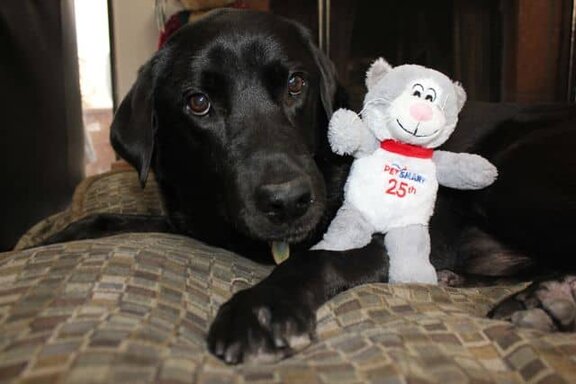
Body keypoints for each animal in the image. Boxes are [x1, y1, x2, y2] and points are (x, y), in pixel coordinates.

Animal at [46, 9, 576, 364]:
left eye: (296, 84)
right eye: (198, 102)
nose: (289, 202)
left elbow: (317, 258)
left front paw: (259, 308)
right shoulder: (196, 218)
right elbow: (129, 218)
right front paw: (60, 235)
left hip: (509, 177)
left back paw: (549, 301)